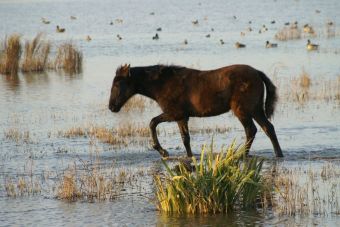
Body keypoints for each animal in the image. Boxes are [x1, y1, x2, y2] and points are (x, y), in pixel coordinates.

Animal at [109, 63, 284, 158]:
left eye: (117, 84)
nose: (112, 107)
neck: (163, 84)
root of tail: (257, 73)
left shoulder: (175, 113)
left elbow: (152, 123)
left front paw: (162, 151)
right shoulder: (182, 117)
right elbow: (185, 138)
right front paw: (189, 156)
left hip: (243, 110)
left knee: (251, 130)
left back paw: (242, 155)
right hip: (256, 109)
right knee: (268, 128)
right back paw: (278, 153)